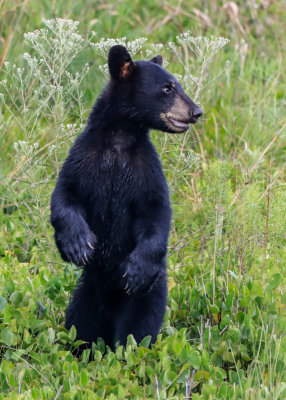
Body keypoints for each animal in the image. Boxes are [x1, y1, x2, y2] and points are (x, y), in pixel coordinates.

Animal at [50, 44, 203, 350]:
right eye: (167, 88)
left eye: (177, 85)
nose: (196, 111)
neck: (119, 140)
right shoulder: (82, 159)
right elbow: (64, 196)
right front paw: (77, 244)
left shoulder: (146, 171)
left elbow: (157, 212)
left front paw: (137, 270)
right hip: (85, 295)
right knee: (79, 326)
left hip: (148, 298)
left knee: (137, 332)